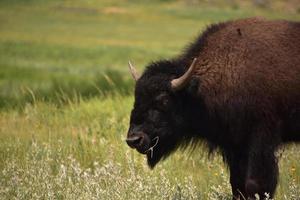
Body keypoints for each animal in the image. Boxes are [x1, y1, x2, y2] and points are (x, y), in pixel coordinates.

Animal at [125, 18, 300, 199]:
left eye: (163, 100)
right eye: (136, 97)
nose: (134, 139)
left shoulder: (261, 139)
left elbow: (255, 184)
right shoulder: (234, 145)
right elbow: (237, 184)